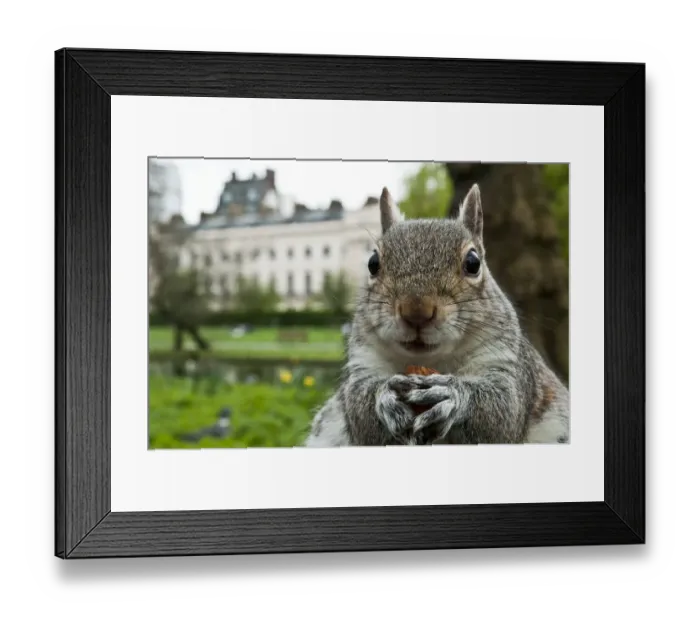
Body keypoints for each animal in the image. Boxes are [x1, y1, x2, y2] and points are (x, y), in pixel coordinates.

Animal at [304, 184, 570, 447]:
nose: (416, 311)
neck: (432, 361)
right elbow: (360, 413)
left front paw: (453, 395)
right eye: (372, 263)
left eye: (473, 263)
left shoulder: (505, 362)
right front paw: (385, 395)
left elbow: (503, 412)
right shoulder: (364, 361)